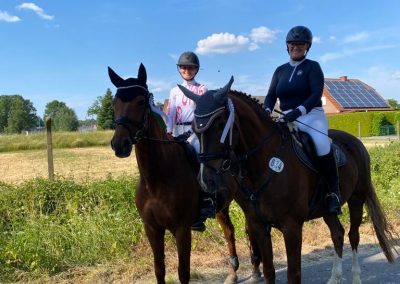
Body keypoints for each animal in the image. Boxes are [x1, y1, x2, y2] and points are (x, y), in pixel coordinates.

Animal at [108, 65, 260, 284]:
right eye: (115, 102)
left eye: (140, 102)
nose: (120, 144)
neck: (155, 179)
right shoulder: (152, 228)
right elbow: (159, 269)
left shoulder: (182, 229)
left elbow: (183, 272)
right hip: (221, 206)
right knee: (229, 231)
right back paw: (232, 273)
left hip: (246, 200)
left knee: (251, 229)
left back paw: (256, 269)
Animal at [180, 76, 398, 282]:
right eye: (194, 128)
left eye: (219, 125)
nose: (206, 181)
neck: (265, 163)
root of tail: (356, 143)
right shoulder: (259, 226)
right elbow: (269, 272)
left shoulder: (291, 227)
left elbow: (294, 275)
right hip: (327, 209)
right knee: (337, 233)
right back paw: (334, 277)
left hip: (356, 199)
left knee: (353, 236)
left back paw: (356, 277)